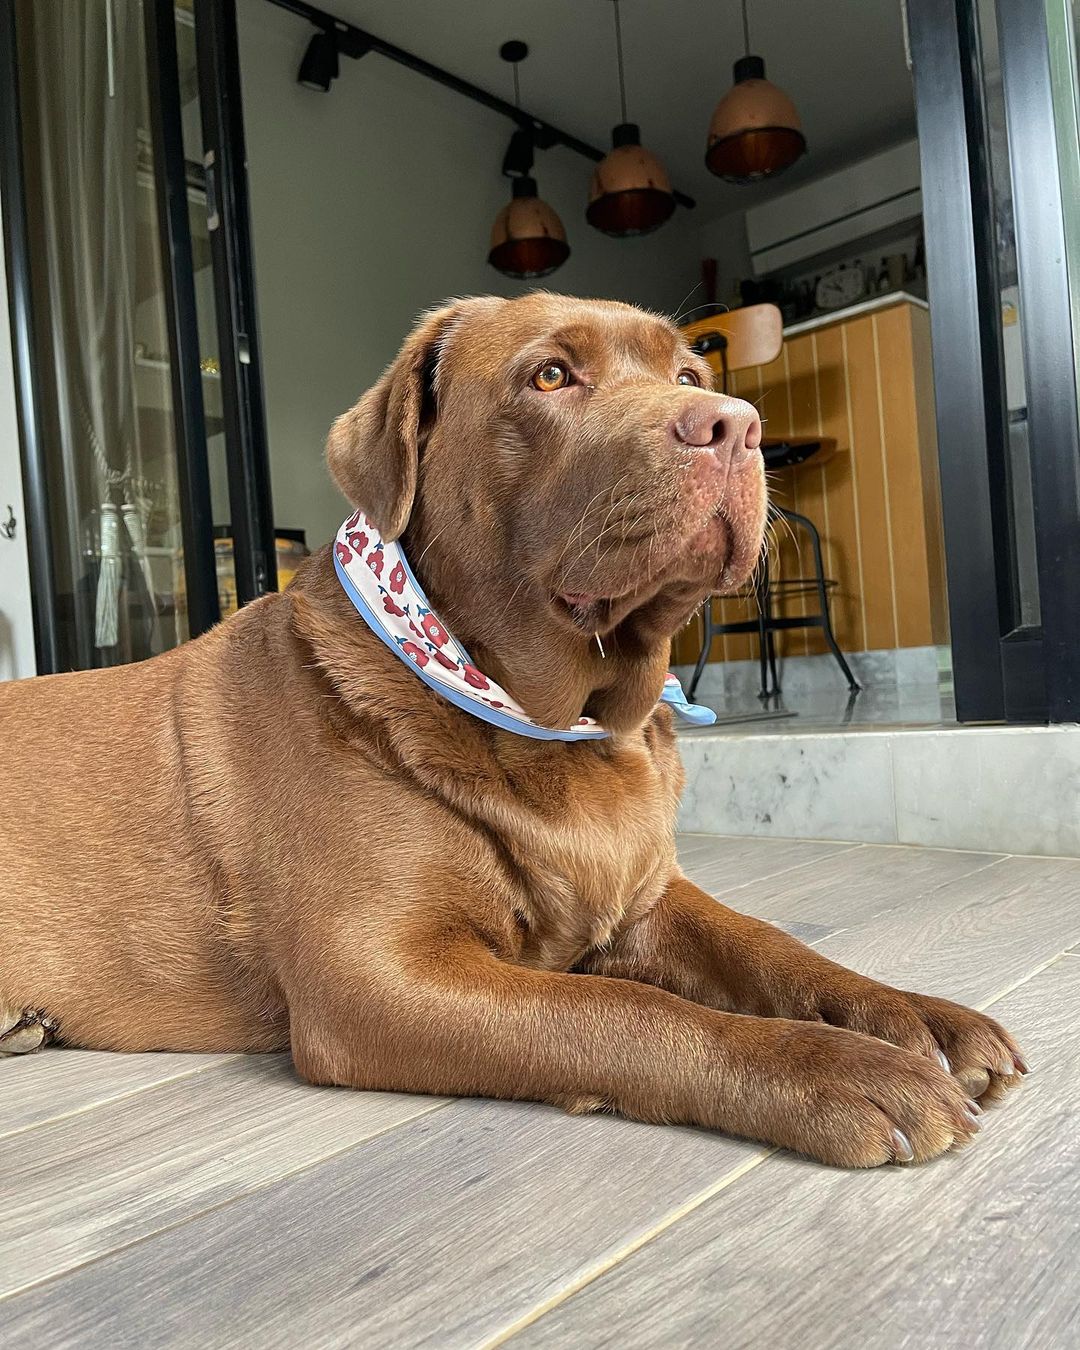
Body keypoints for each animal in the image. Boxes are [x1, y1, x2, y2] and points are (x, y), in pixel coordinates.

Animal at [0, 292, 1026, 1161]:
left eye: (688, 373)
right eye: (550, 376)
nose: (735, 423)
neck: (567, 726)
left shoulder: (647, 894)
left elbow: (770, 943)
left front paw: (912, 1018)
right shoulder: (374, 973)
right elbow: (627, 1012)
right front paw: (841, 1071)